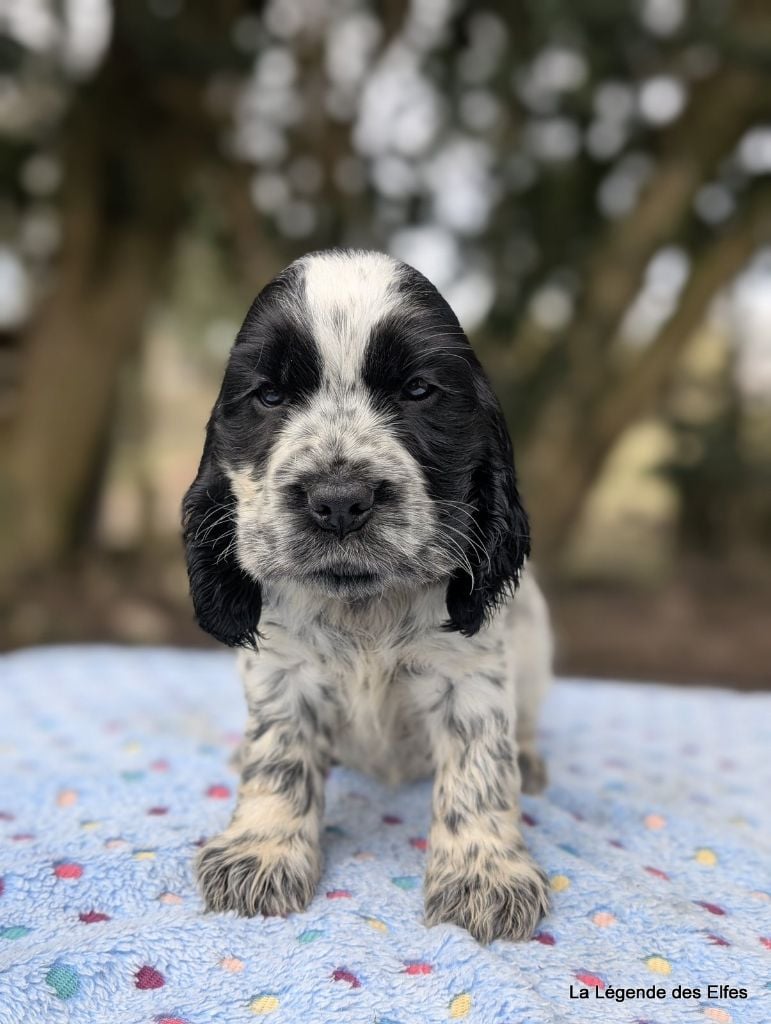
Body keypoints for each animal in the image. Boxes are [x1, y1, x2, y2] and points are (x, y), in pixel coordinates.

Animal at [183, 247, 548, 942]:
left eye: (418, 391)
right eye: (269, 395)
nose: (338, 500)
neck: (363, 609)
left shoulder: (471, 676)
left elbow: (479, 769)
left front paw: (484, 875)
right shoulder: (282, 672)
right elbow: (279, 757)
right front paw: (261, 851)